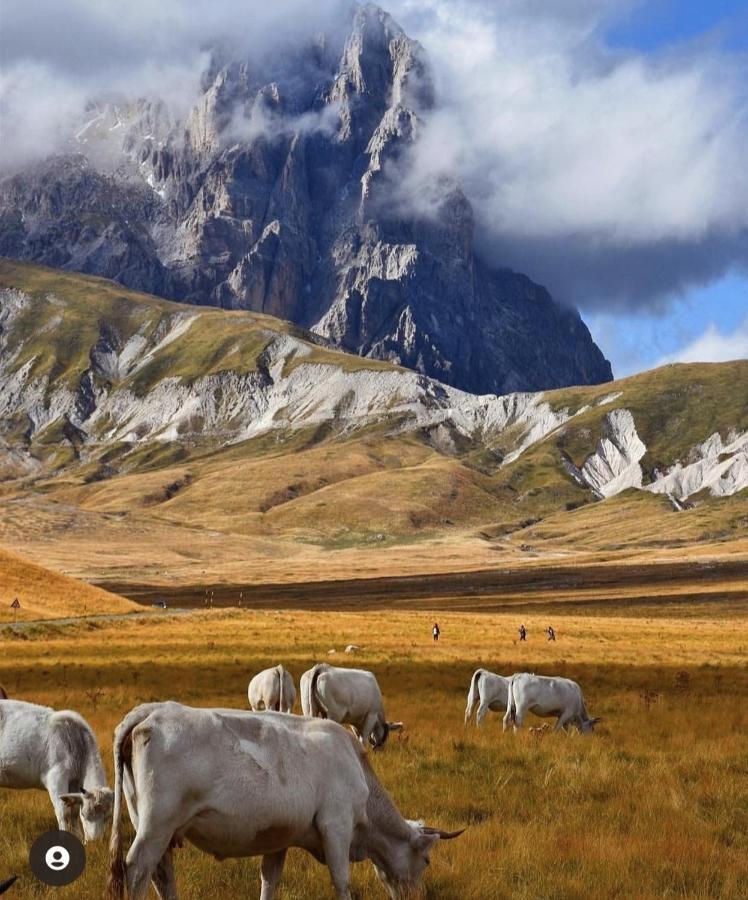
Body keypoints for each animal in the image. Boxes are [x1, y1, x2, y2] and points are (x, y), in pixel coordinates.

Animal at [0, 700, 114, 840]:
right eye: (84, 815)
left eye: (108, 817)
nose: (94, 841)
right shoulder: (57, 778)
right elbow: (63, 813)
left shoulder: (74, 782)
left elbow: (73, 812)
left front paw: (78, 836)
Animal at [106, 704, 462, 900]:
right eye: (426, 861)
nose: (418, 896)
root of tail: (151, 710)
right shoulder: (336, 826)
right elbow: (342, 881)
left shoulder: (279, 838)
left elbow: (270, 880)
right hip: (157, 825)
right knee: (136, 869)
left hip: (155, 828)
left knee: (161, 875)